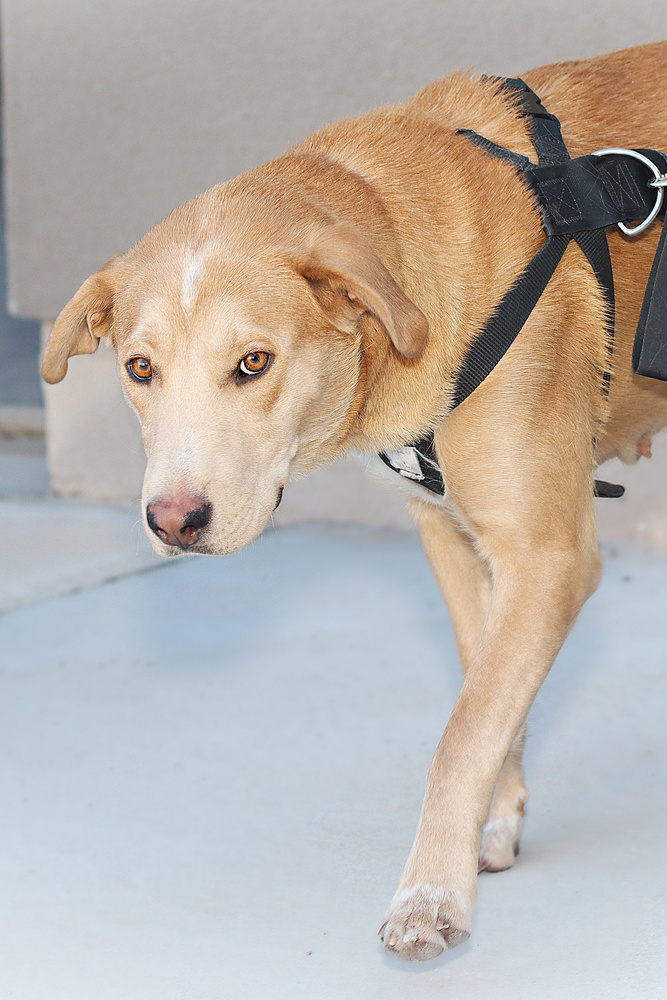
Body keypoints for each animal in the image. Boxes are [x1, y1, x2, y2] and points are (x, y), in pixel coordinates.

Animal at [40, 41, 667, 960]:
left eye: (254, 362)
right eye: (138, 368)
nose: (174, 522)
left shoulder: (548, 556)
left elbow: (461, 731)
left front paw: (429, 892)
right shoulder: (456, 538)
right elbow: (487, 691)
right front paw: (490, 825)